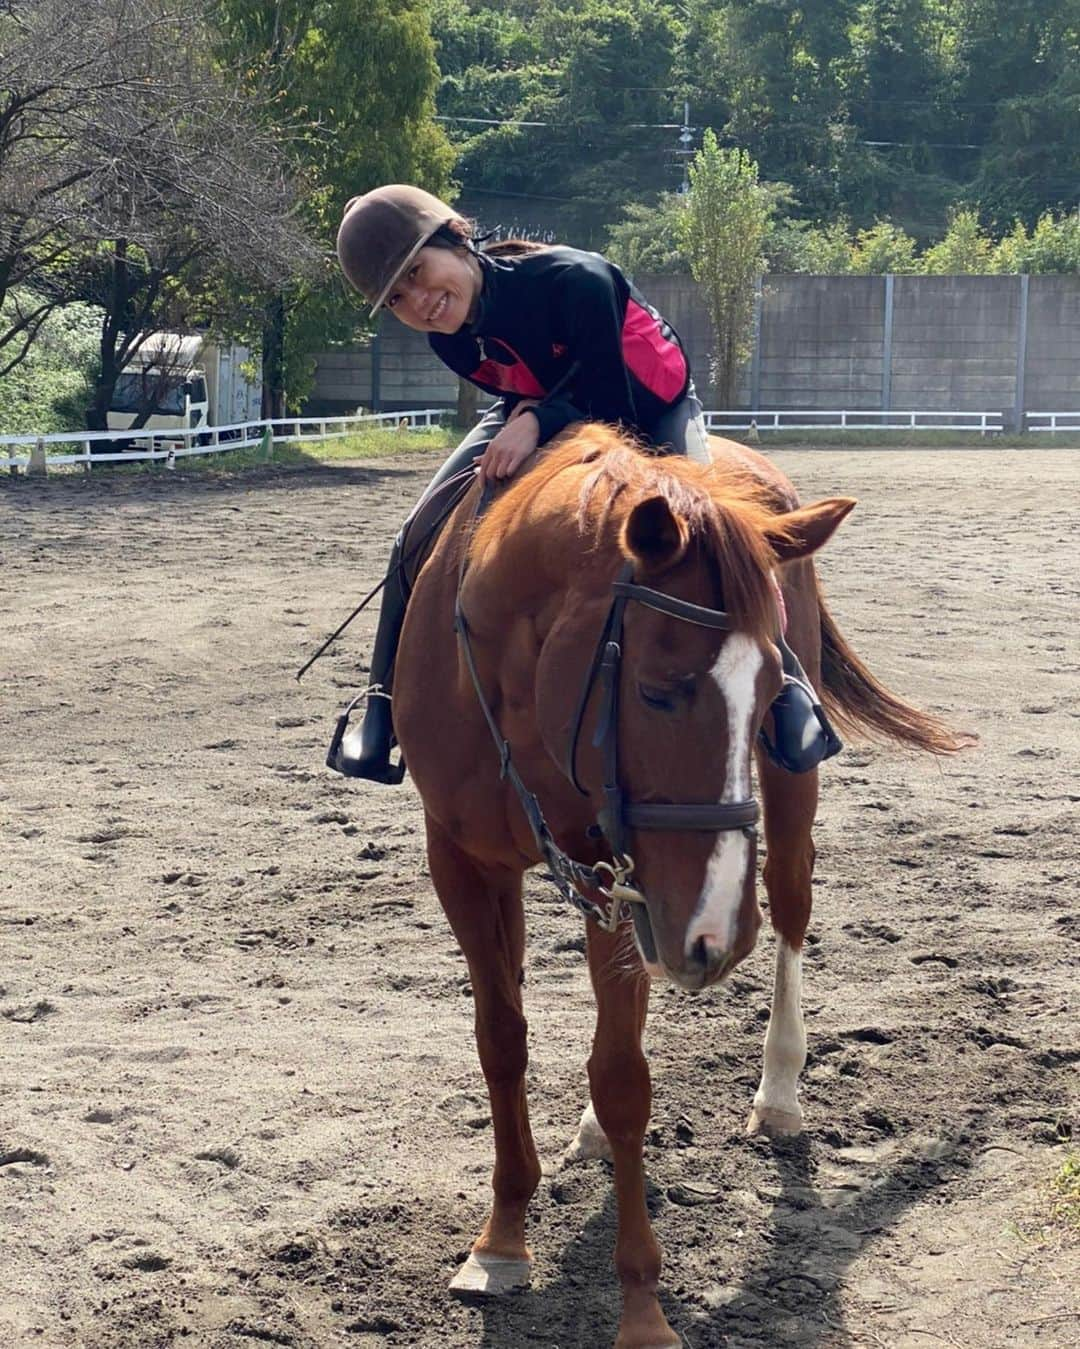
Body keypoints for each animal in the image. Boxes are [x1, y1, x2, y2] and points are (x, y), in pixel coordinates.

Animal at [391, 428, 960, 1349]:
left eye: (769, 692)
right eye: (658, 690)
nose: (721, 936)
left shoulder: (615, 872)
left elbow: (624, 1077)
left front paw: (642, 1308)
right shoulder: (466, 861)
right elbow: (502, 1040)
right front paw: (501, 1240)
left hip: (775, 810)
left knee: (793, 905)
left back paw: (778, 1090)